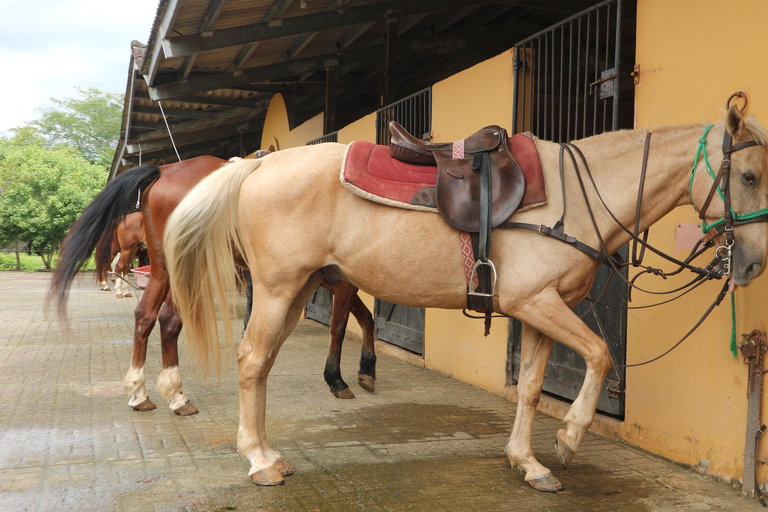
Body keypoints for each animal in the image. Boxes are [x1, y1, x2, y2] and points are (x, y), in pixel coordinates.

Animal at [49, 154, 380, 414]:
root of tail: (165, 171)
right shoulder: (344, 285)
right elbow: (340, 327)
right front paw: (337, 379)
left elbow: (366, 318)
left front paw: (367, 370)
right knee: (166, 317)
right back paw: (177, 396)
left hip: (163, 269)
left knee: (145, 315)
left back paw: (141, 393)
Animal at [165, 106, 768, 490]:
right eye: (749, 175)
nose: (753, 262)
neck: (575, 199)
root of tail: (259, 162)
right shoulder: (538, 303)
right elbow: (600, 355)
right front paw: (569, 438)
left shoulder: (539, 310)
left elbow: (530, 388)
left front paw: (528, 463)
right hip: (277, 289)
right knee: (251, 361)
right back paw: (259, 461)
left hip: (298, 290)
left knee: (263, 364)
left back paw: (267, 452)